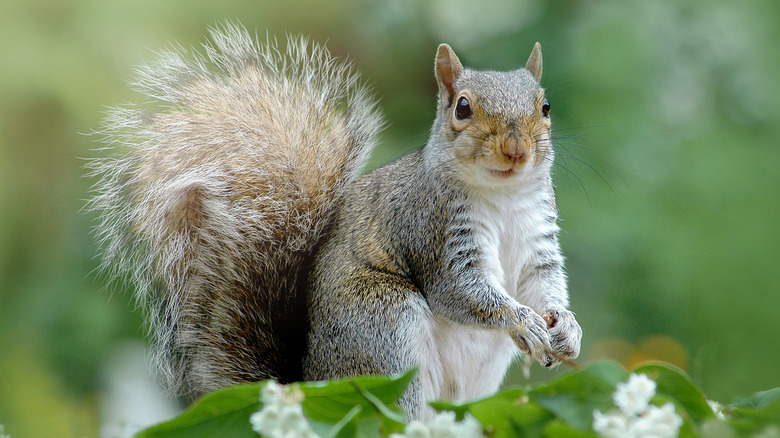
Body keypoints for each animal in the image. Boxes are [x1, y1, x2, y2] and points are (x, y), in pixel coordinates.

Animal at [89, 23, 582, 420]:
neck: (502, 197)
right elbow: (460, 291)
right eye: (462, 107)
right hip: (382, 328)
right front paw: (522, 321)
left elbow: (544, 283)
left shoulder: (538, 241)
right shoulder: (431, 230)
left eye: (545, 106)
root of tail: (309, 383)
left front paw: (566, 327)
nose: (516, 150)